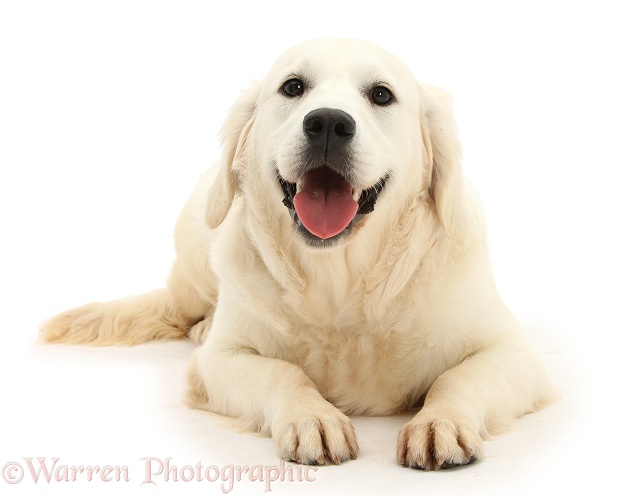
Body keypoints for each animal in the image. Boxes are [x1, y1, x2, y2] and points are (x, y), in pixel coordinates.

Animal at [41, 37, 556, 468]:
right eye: (293, 87)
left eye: (381, 95)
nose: (327, 123)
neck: (340, 282)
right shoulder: (218, 362)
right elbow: (281, 373)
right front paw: (313, 418)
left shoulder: (512, 351)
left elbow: (457, 377)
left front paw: (440, 422)